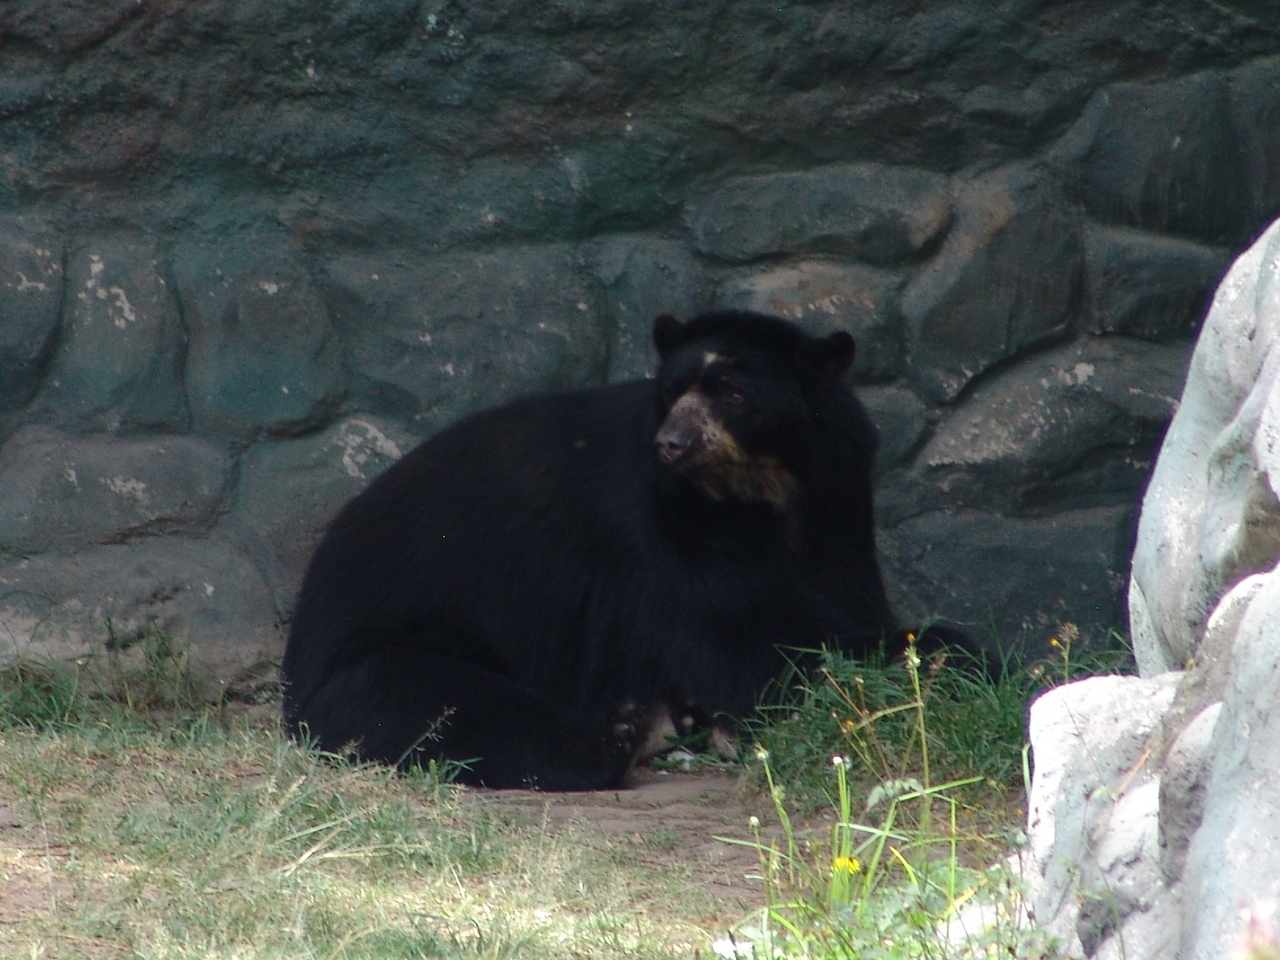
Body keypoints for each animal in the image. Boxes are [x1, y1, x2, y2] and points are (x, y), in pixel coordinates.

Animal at [281, 309, 967, 790]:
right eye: (673, 390)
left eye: (733, 393)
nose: (673, 443)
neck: (762, 492)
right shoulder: (668, 536)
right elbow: (759, 650)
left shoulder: (839, 502)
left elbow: (840, 606)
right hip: (385, 656)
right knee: (465, 709)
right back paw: (625, 732)